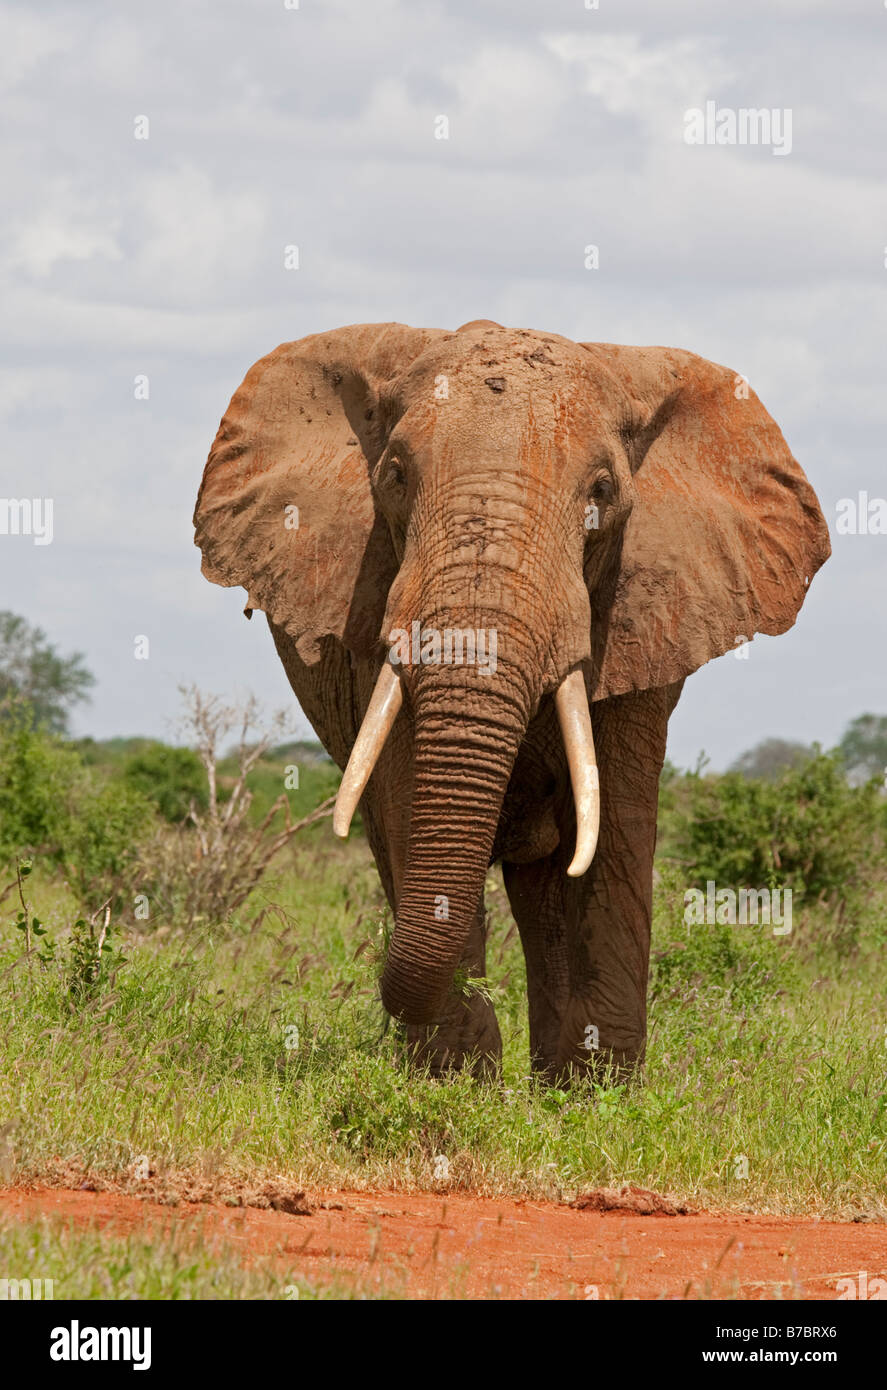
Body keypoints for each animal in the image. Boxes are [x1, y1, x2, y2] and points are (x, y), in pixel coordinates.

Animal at [194, 319, 834, 1078]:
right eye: (395, 477)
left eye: (601, 492)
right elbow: (408, 801)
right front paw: (452, 1084)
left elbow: (612, 832)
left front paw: (594, 1095)